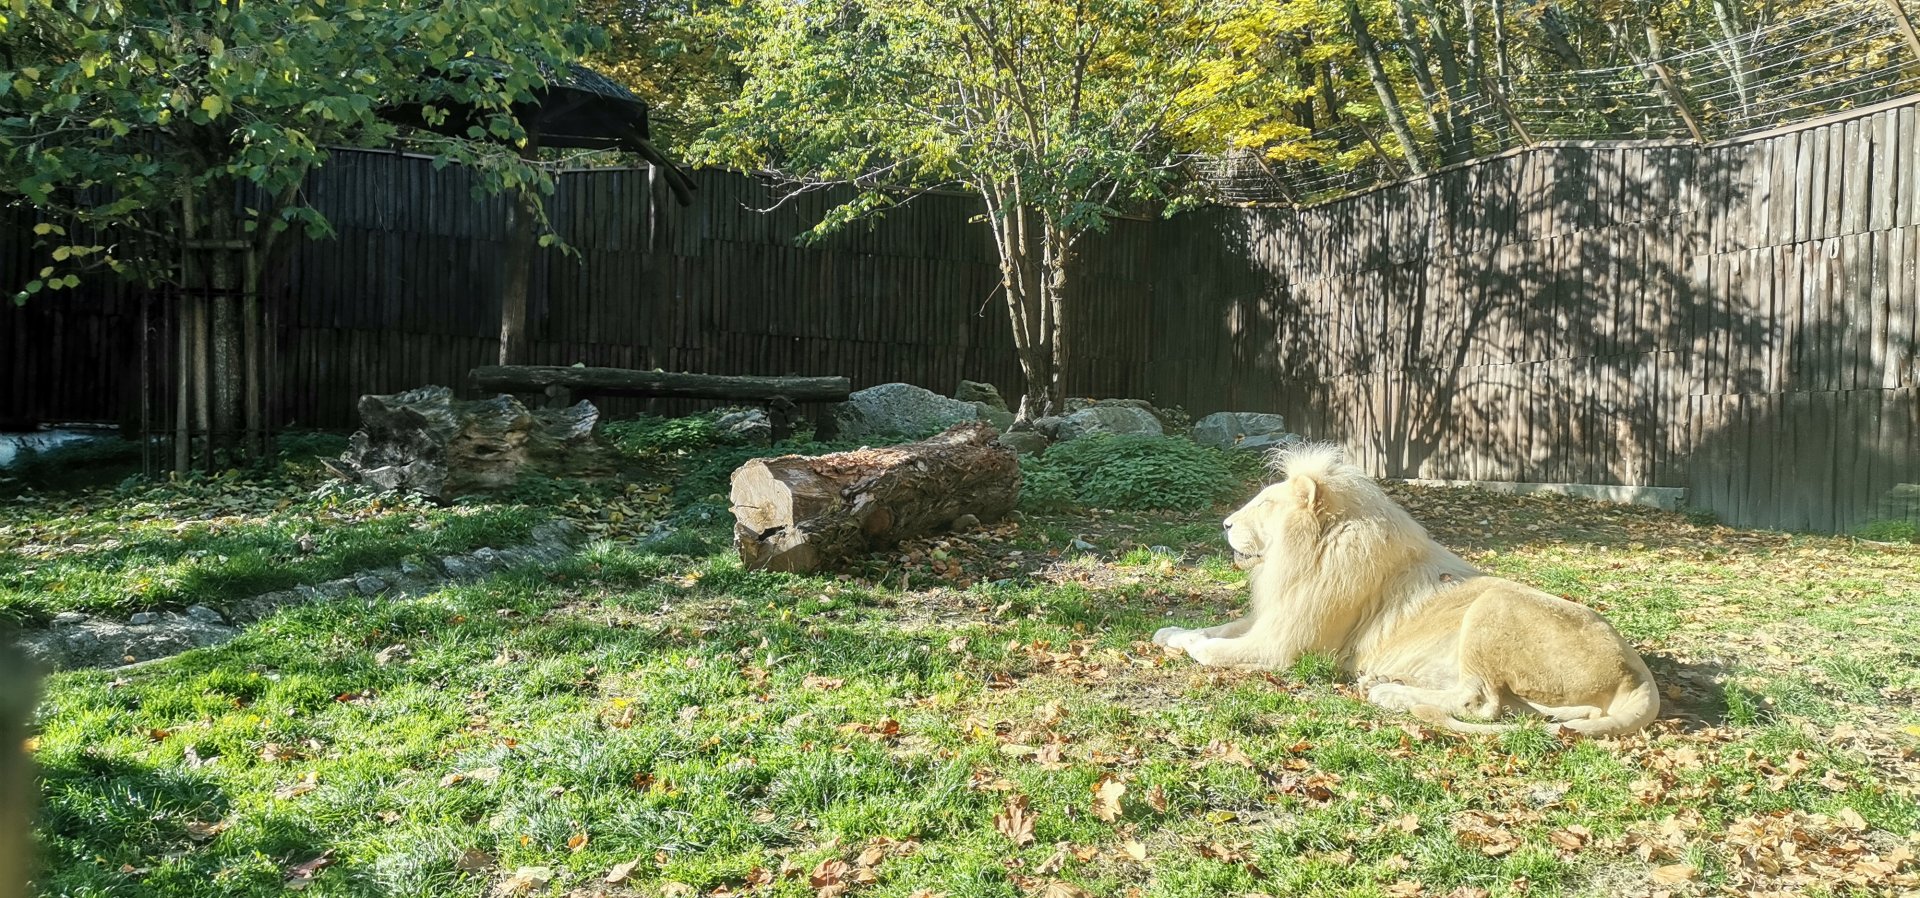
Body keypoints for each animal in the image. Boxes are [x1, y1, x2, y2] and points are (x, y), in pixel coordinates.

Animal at [1152, 443, 1659, 736]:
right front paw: (1170, 633)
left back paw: (1387, 694)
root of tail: (1637, 672)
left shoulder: (1286, 646)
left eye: (1265, 505)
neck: (1299, 561)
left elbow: (1214, 650)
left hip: (1492, 607)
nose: (1225, 523)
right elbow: (1218, 626)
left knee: (1481, 704)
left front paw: (1193, 644)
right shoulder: (1271, 616)